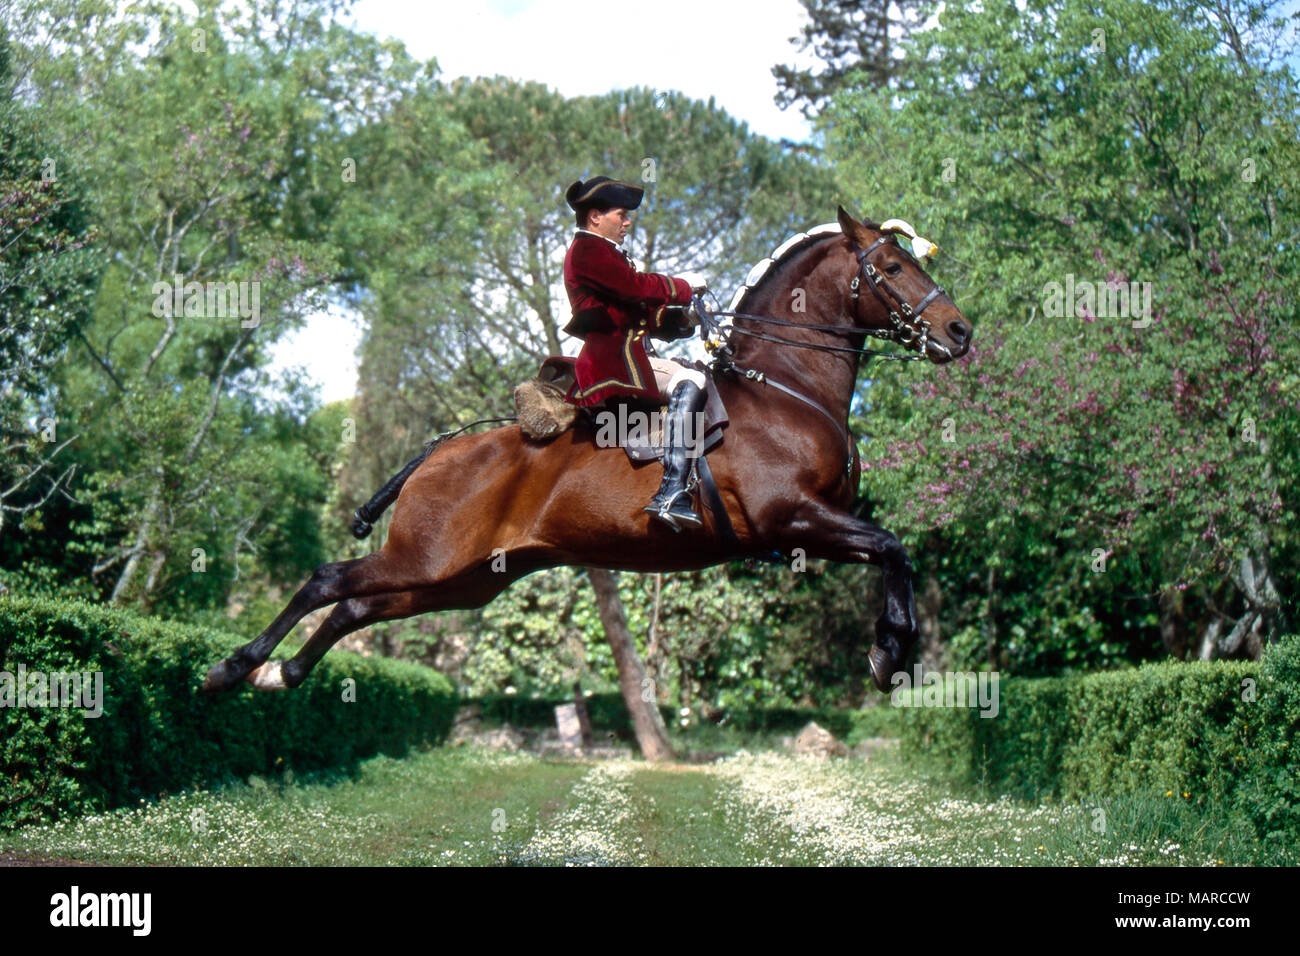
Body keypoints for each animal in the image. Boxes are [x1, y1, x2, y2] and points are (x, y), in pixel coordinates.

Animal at [202, 205, 972, 697]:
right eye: (892, 266)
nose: (959, 331)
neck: (787, 387)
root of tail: (441, 450)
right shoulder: (793, 516)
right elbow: (895, 547)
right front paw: (888, 653)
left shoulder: (817, 528)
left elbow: (895, 552)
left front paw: (893, 654)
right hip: (427, 557)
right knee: (327, 581)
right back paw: (234, 667)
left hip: (459, 579)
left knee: (356, 608)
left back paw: (283, 674)